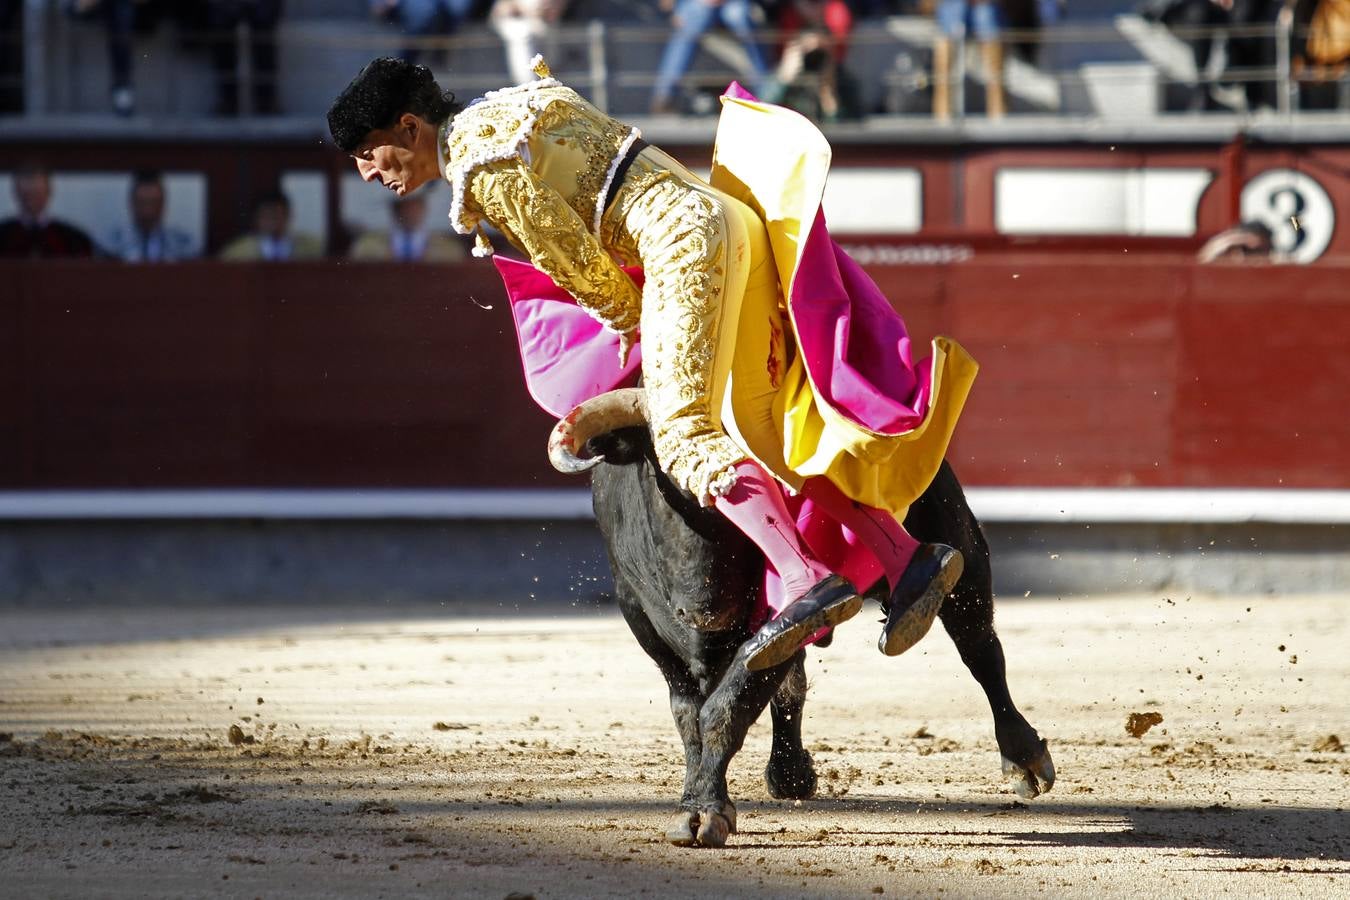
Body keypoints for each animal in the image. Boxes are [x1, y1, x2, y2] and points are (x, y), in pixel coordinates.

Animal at [548, 391, 1053, 847]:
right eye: (664, 473)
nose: (705, 607)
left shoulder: (781, 622)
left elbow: (726, 709)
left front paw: (707, 811)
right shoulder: (641, 618)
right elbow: (688, 714)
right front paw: (695, 802)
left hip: (961, 542)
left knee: (980, 650)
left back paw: (1023, 756)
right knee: (792, 688)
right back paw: (789, 773)